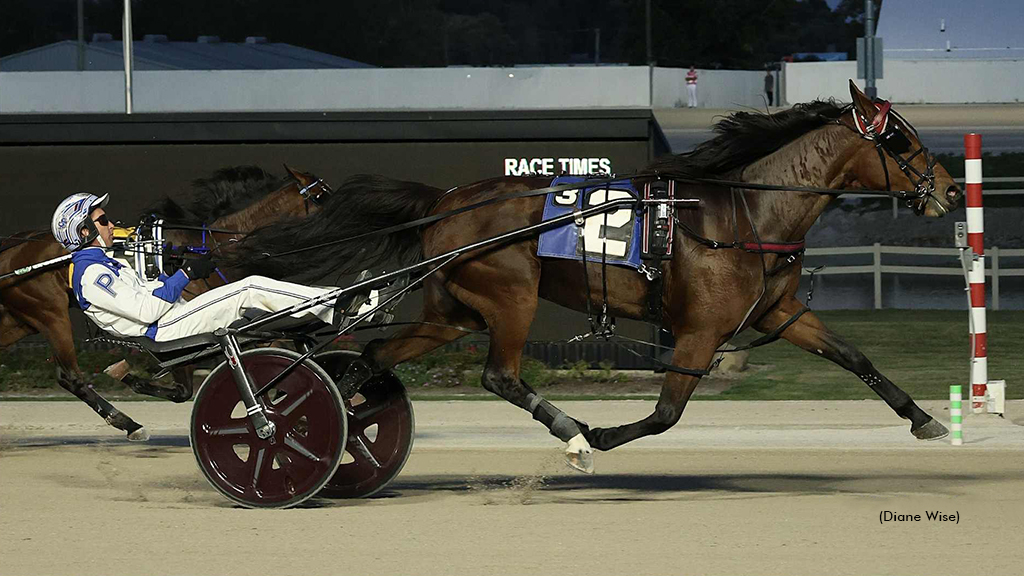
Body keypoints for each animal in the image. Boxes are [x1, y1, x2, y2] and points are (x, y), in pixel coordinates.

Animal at [0, 165, 332, 440]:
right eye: (320, 196)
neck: (209, 248)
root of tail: (11, 251)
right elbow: (184, 387)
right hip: (50, 314)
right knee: (69, 377)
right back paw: (128, 424)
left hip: (20, 321)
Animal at [231, 82, 961, 472]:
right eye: (900, 140)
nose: (951, 190)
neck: (745, 211)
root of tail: (447, 200)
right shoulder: (701, 329)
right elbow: (667, 413)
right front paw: (605, 434)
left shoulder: (778, 312)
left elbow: (856, 357)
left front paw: (926, 419)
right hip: (511, 297)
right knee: (499, 376)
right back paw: (575, 433)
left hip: (452, 311)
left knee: (373, 357)